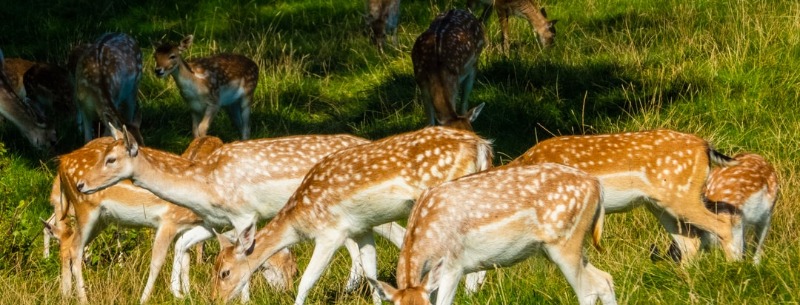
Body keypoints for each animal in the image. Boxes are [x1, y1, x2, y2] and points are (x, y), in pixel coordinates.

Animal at [42, 136, 296, 304]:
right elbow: (159, 260)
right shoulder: (169, 220)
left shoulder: (192, 225)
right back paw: (83, 297)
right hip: (85, 209)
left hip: (99, 218)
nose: (288, 291)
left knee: (67, 241)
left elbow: (185, 255)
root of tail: (63, 161)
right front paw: (148, 298)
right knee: (74, 247)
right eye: (289, 268)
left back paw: (65, 293)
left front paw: (184, 293)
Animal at [73, 124, 412, 302]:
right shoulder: (216, 220)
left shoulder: (244, 214)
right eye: (102, 154)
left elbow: (244, 260)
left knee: (396, 234)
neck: (204, 183)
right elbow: (190, 244)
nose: (81, 184)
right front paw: (179, 292)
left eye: (111, 159)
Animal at [206, 125, 494, 302]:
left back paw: (471, 292)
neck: (299, 220)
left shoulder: (330, 233)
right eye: (215, 267)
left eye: (225, 273)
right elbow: (371, 272)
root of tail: (481, 145)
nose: (215, 298)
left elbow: (307, 280)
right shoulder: (362, 228)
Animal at [370, 163, 620, 304]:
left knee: (587, 290)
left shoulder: (454, 265)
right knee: (604, 280)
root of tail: (597, 186)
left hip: (565, 243)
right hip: (565, 246)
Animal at [510, 129, 740, 262]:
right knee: (689, 241)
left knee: (722, 224)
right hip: (659, 204)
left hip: (681, 195)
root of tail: (705, 146)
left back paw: (733, 267)